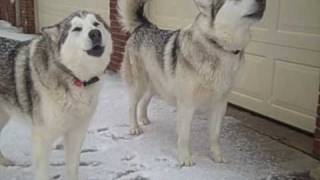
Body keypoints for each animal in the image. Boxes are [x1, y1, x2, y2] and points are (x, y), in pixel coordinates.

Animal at [0, 10, 112, 179]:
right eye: (77, 29)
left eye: (96, 24)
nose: (95, 33)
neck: (74, 77)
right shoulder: (42, 138)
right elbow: (42, 173)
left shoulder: (76, 133)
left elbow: (72, 169)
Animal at [119, 0, 266, 166]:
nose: (263, 1)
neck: (219, 47)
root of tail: (145, 25)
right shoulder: (186, 105)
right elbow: (184, 136)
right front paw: (185, 159)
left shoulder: (220, 105)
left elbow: (215, 136)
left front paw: (216, 156)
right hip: (139, 84)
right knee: (132, 106)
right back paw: (134, 127)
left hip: (156, 86)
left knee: (144, 101)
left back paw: (144, 119)